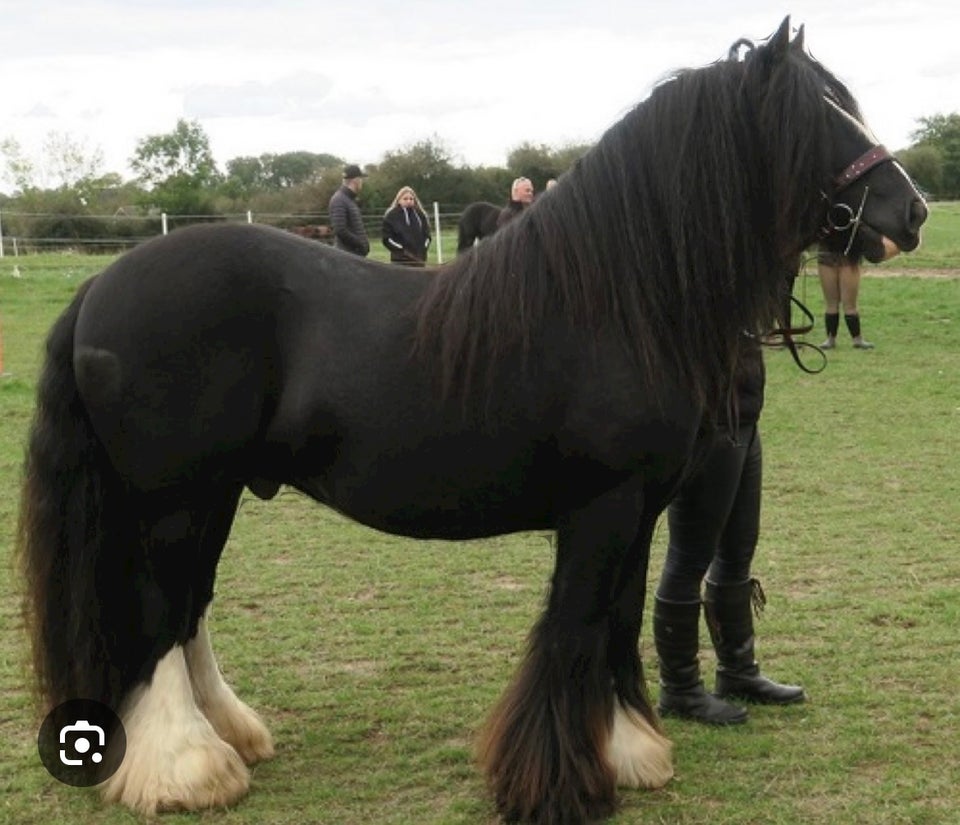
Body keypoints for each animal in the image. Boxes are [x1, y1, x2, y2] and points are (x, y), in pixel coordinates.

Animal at [20, 20, 924, 824]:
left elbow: (618, 622)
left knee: (189, 610)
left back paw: (228, 740)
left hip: (216, 496)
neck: (615, 300)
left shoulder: (639, 512)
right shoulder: (600, 509)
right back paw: (185, 767)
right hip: (172, 502)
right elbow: (575, 628)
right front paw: (559, 785)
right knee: (158, 615)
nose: (911, 212)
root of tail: (101, 287)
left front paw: (629, 752)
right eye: (817, 115)